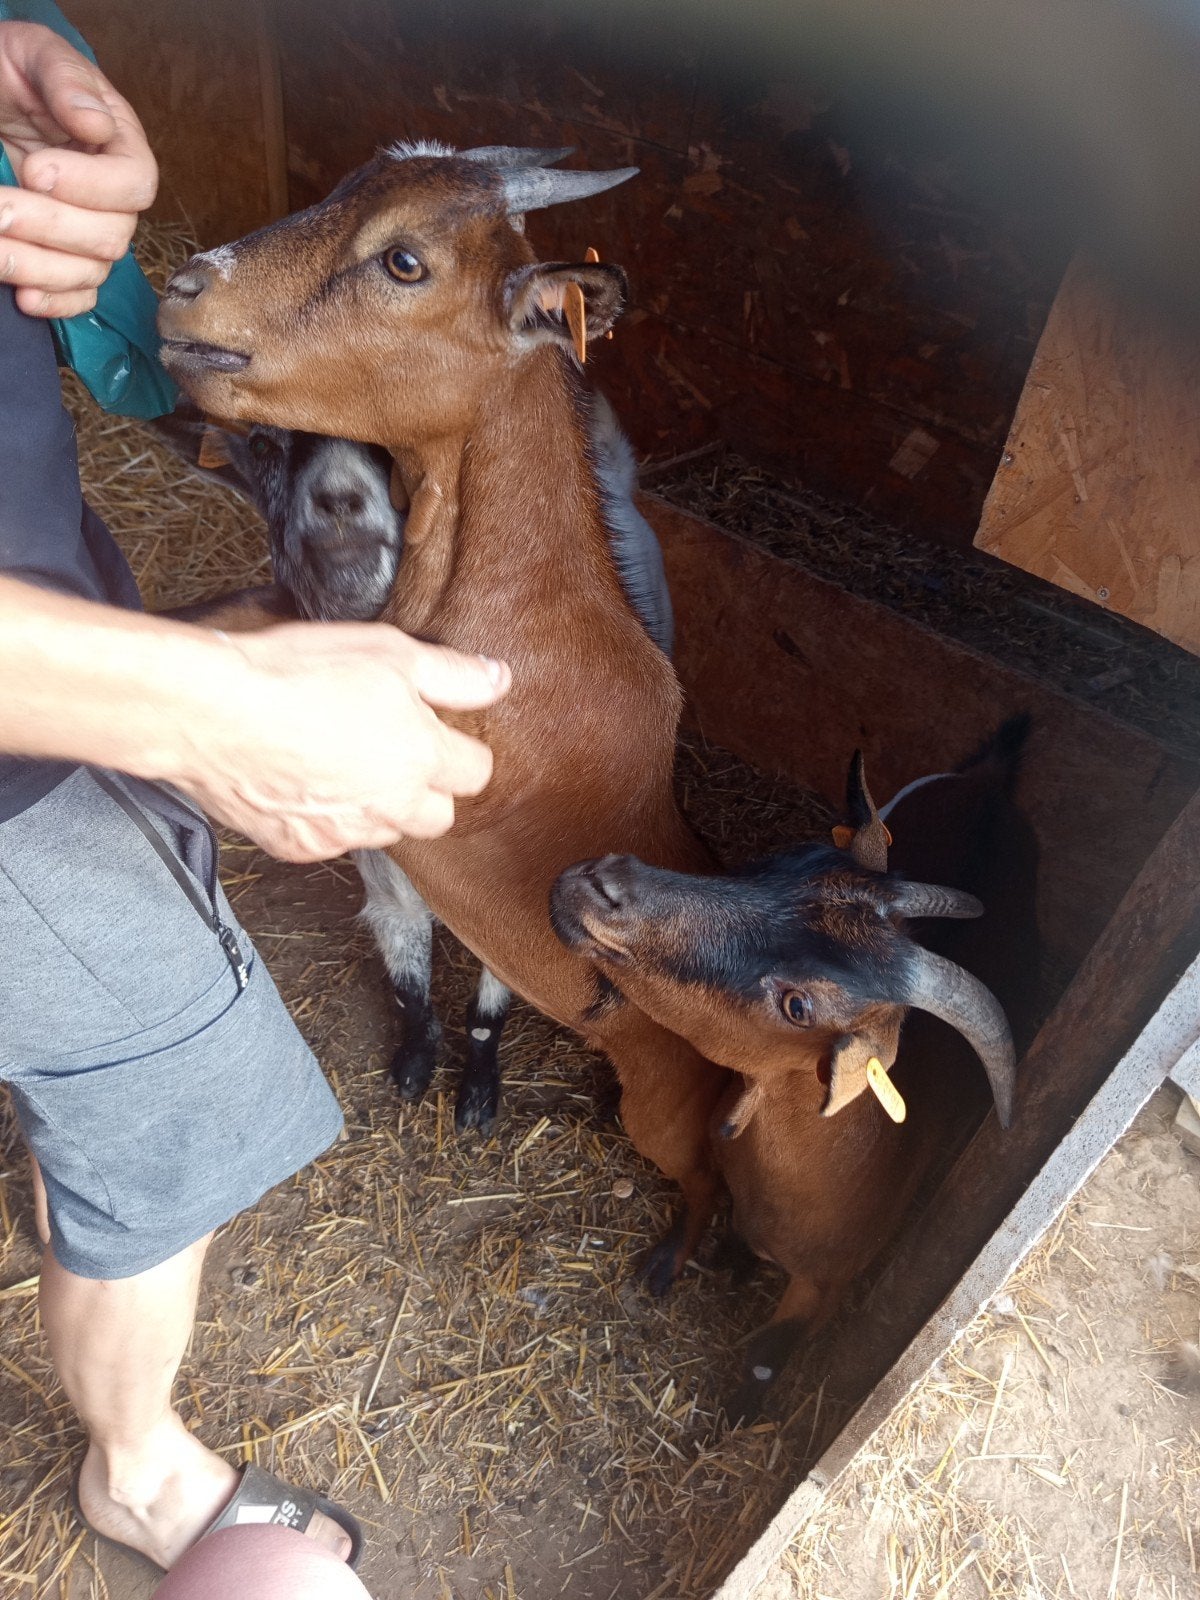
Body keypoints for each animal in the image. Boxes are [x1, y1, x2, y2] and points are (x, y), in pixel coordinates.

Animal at [157, 141, 723, 1280]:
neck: (515, 616)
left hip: (669, 1107)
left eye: (405, 260)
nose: (185, 284)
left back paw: (671, 1260)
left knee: (704, 1182)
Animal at [551, 717, 1039, 1408]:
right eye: (781, 862)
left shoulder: (826, 1287)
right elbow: (702, 1195)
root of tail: (994, 782)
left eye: (799, 1005)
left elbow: (761, 1361)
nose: (602, 883)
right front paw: (682, 1260)